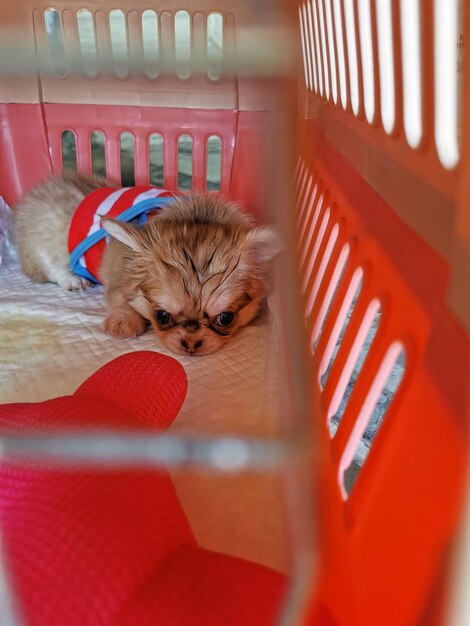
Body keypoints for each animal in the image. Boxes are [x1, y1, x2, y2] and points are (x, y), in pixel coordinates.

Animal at [13, 173, 280, 354]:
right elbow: (120, 298)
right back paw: (73, 279)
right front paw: (124, 321)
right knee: (50, 268)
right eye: (161, 316)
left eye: (226, 318)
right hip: (43, 246)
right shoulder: (118, 275)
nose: (191, 343)